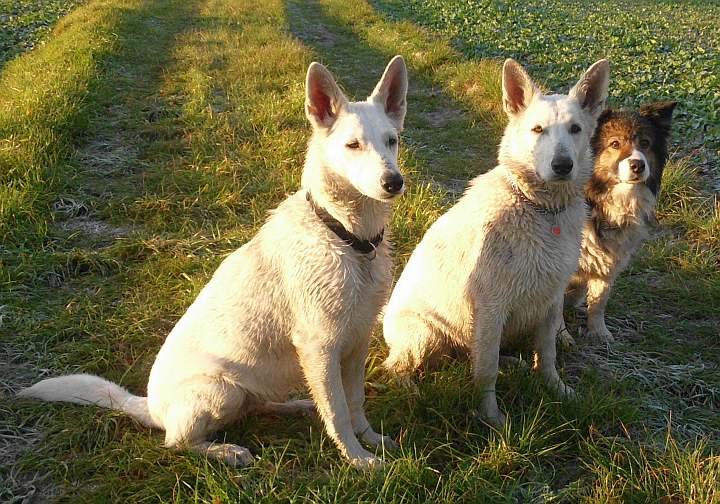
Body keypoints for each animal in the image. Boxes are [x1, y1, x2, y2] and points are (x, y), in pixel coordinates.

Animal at [564, 100, 676, 340]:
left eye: (645, 143)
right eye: (615, 144)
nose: (638, 165)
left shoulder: (608, 263)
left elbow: (598, 302)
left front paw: (599, 333)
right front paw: (562, 337)